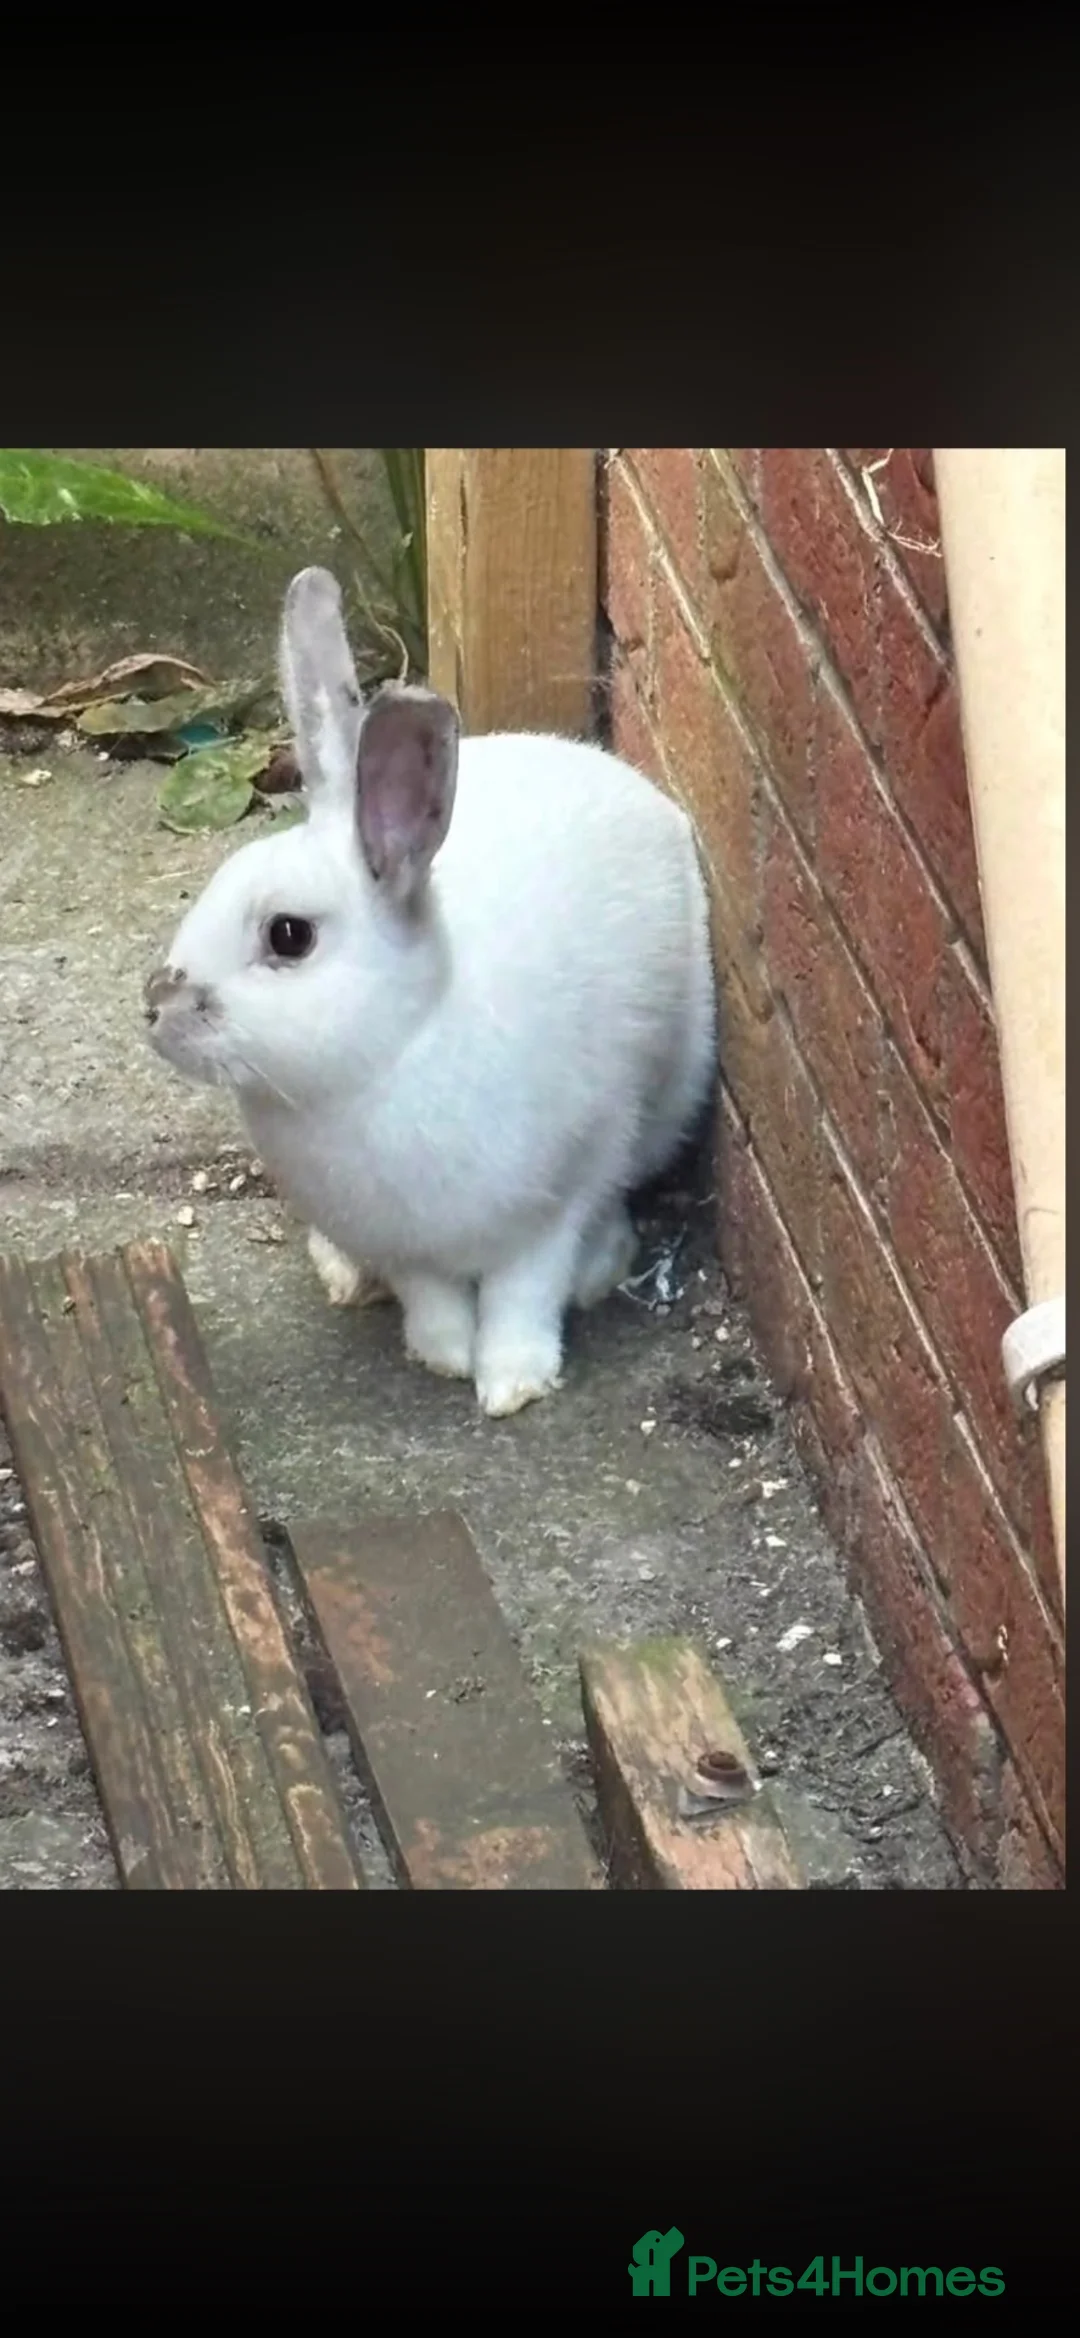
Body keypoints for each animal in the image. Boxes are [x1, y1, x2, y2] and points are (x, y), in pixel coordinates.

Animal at [145, 566, 716, 1417]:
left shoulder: (551, 1208)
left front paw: (511, 1383)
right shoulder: (405, 1244)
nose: (156, 1006)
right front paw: (443, 1355)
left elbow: (524, 1294)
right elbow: (432, 1297)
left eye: (290, 936)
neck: (390, 1054)